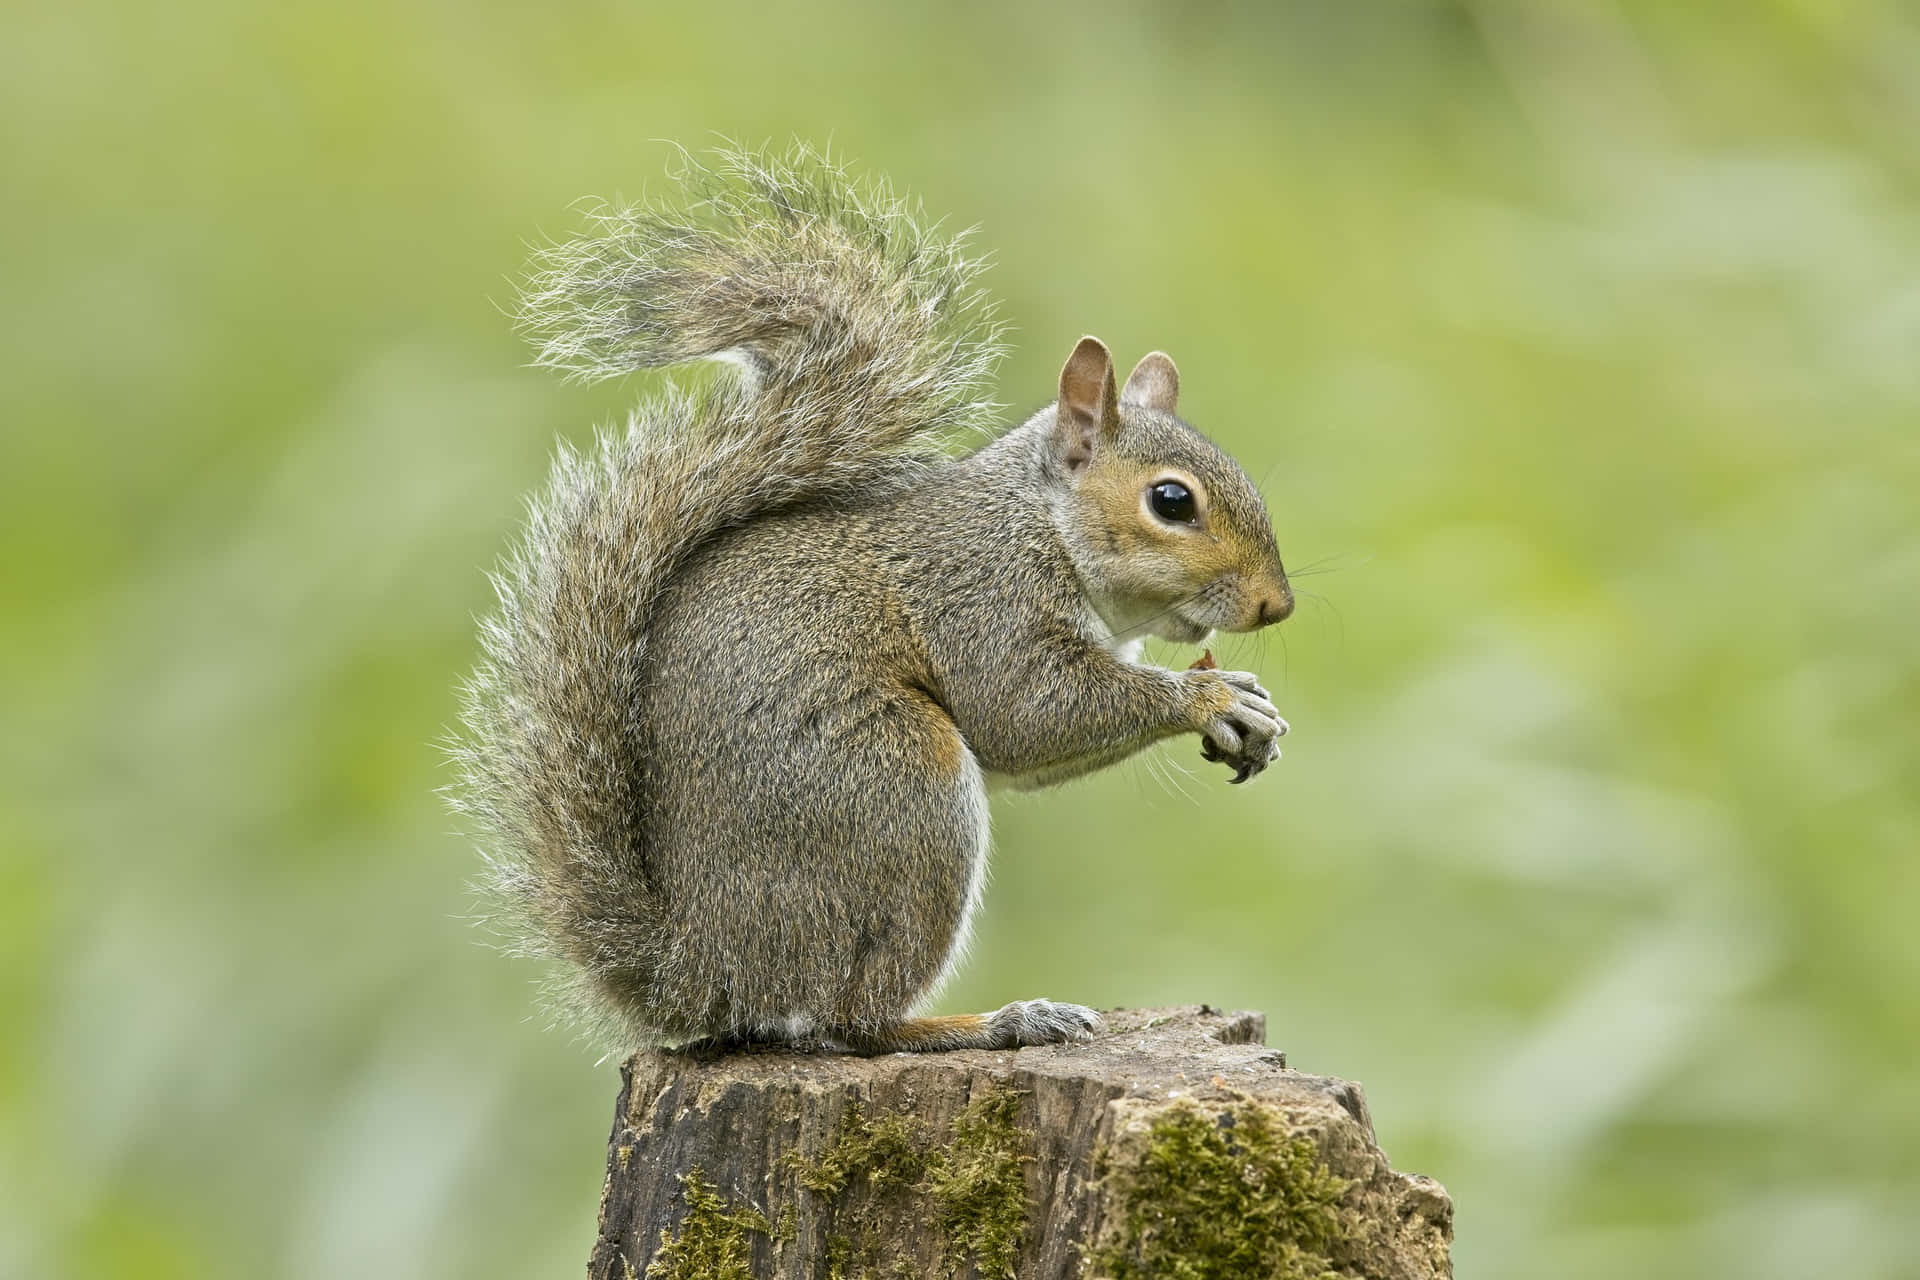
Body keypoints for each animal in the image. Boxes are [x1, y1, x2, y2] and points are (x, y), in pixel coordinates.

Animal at [447, 144, 1290, 1059]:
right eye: (1170, 501)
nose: (1276, 606)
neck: (1041, 526)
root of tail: (705, 973)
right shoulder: (980, 597)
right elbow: (1026, 714)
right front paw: (1211, 698)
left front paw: (1247, 709)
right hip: (901, 795)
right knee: (854, 1018)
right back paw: (995, 1021)